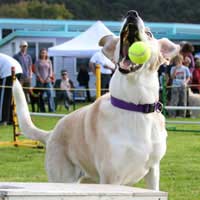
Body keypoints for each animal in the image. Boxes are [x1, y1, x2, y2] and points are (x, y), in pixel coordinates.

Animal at [12, 10, 180, 191]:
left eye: (149, 34)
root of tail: (51, 134)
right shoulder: (111, 176)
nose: (131, 14)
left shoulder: (153, 172)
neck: (135, 106)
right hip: (64, 178)